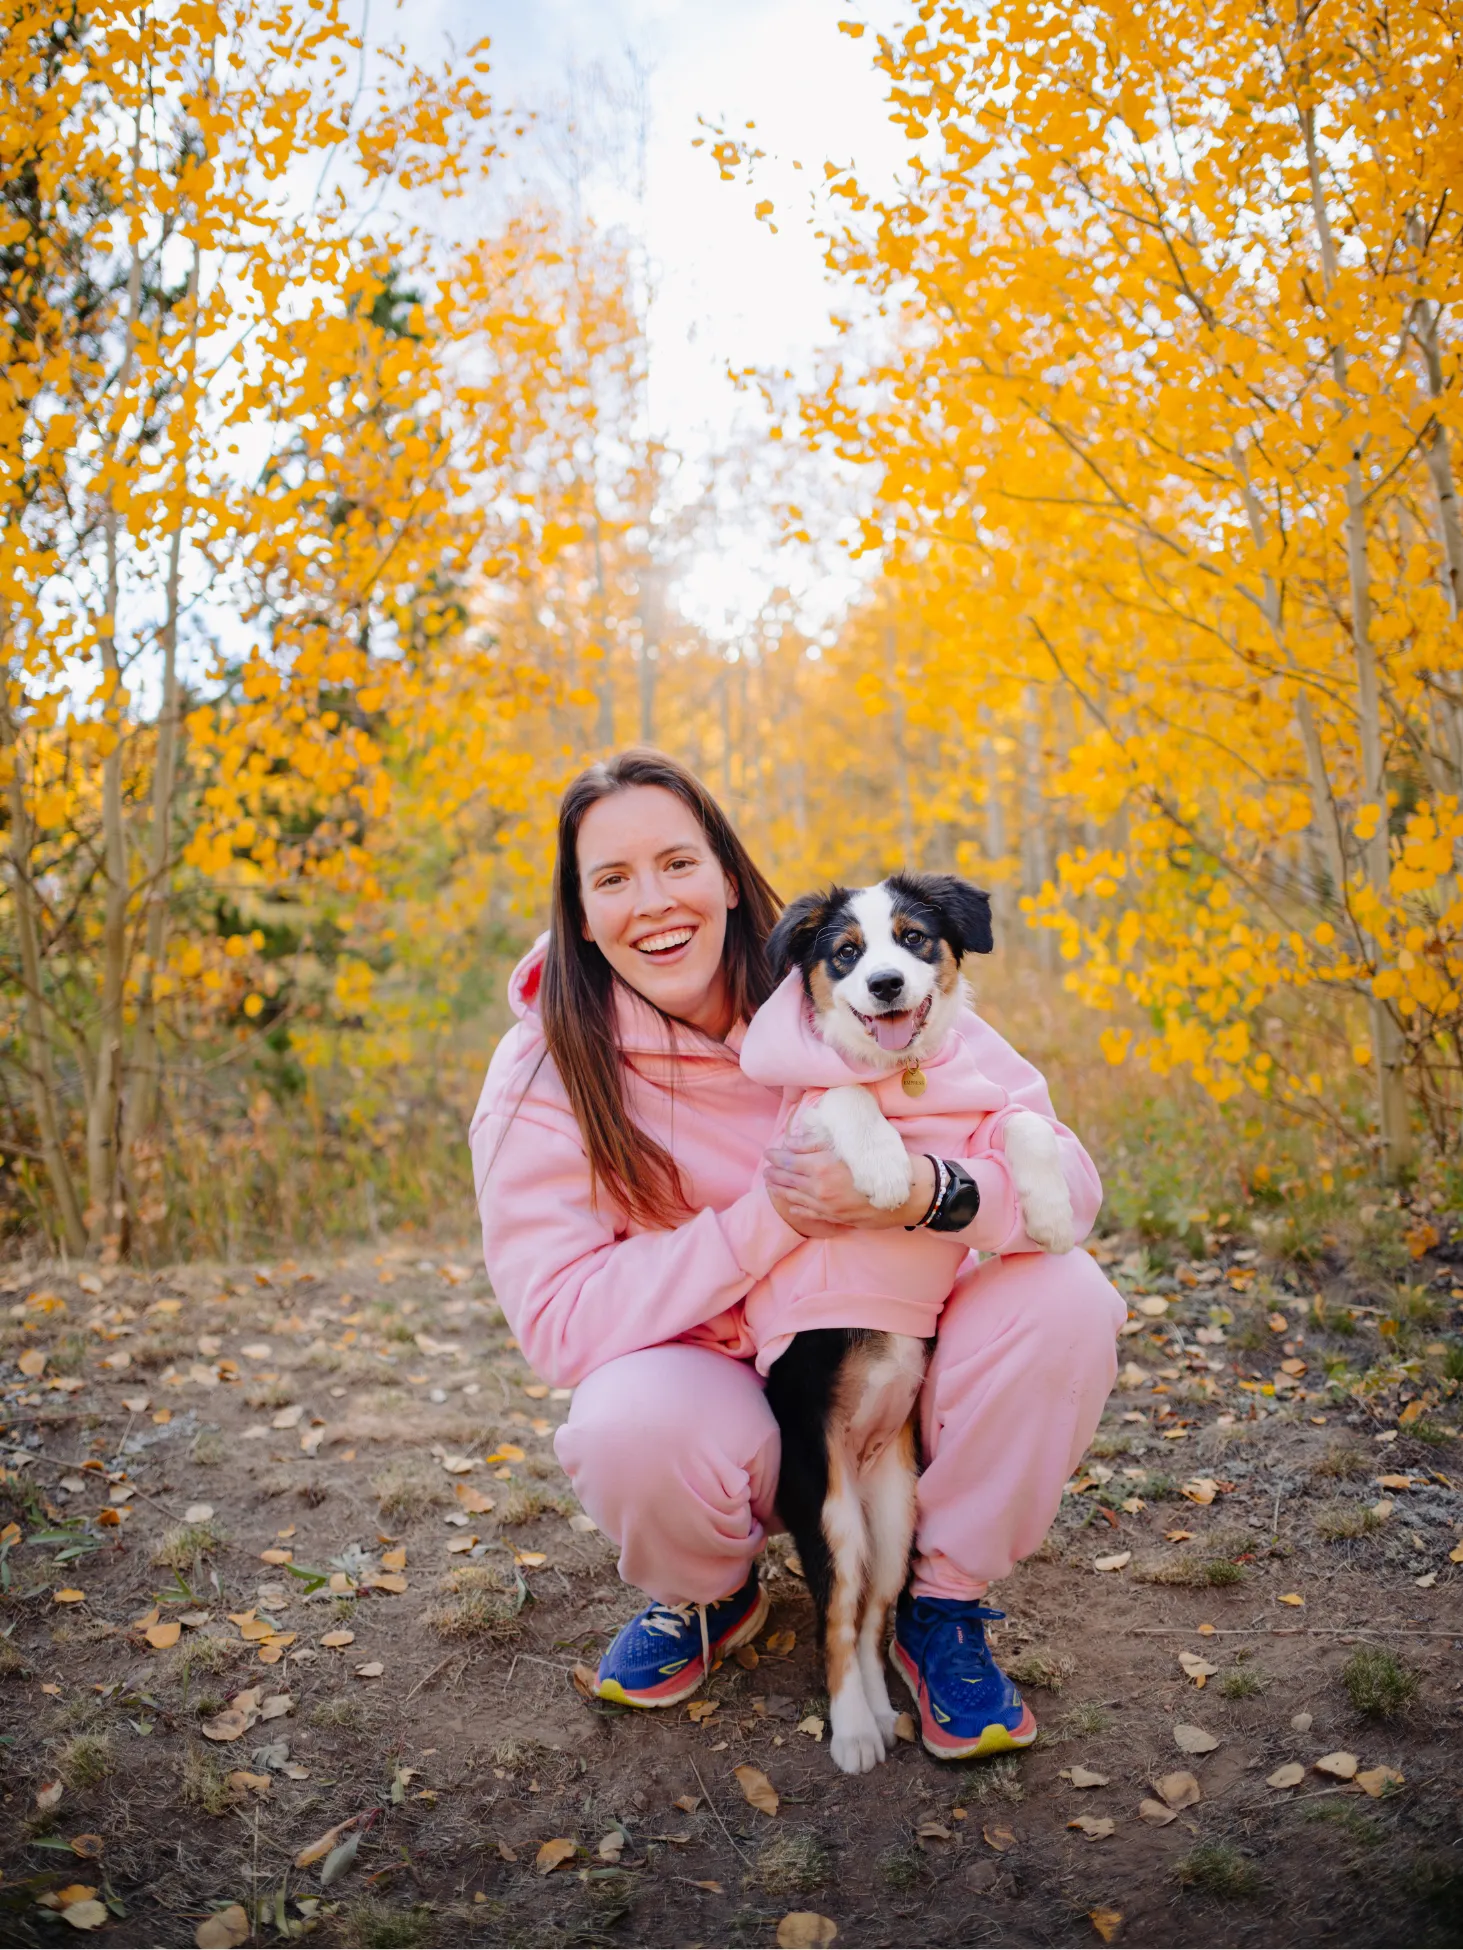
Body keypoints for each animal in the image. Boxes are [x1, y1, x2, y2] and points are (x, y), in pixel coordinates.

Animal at [756, 877, 1076, 1778]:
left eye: (911, 938)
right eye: (845, 954)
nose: (886, 985)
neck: (904, 1080)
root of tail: (860, 1459)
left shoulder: (981, 1128)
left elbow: (1021, 1121)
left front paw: (1048, 1209)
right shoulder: (792, 1132)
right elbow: (839, 1092)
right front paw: (884, 1167)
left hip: (895, 1517)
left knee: (869, 1617)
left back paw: (880, 1712)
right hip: (826, 1507)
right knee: (836, 1623)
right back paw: (854, 1734)